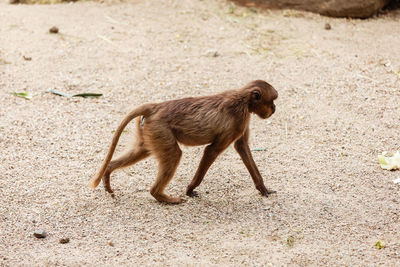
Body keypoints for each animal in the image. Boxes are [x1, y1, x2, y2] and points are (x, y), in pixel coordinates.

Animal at [90, 80, 278, 204]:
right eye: (272, 101)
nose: (274, 109)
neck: (243, 98)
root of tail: (156, 107)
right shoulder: (239, 119)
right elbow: (211, 150)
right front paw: (190, 189)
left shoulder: (243, 120)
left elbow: (242, 147)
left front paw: (263, 188)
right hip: (159, 129)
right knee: (174, 155)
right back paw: (160, 195)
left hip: (149, 130)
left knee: (142, 150)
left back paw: (109, 172)